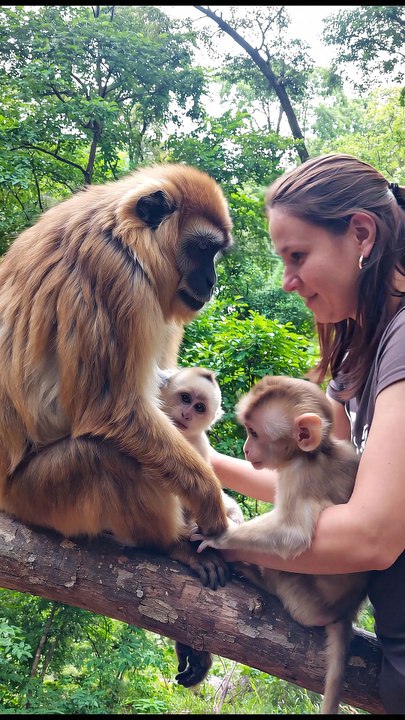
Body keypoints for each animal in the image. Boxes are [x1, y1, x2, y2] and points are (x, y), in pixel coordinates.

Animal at [0, 162, 235, 685]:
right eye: (203, 250)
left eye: (215, 254)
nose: (211, 282)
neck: (125, 233)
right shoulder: (116, 275)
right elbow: (113, 411)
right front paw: (210, 502)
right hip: (35, 495)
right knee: (106, 454)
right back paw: (168, 546)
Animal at [192, 375, 369, 714]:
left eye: (254, 433)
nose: (246, 448)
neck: (314, 454)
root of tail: (345, 612)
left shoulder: (299, 475)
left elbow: (293, 535)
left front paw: (219, 538)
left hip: (304, 601)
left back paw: (257, 576)